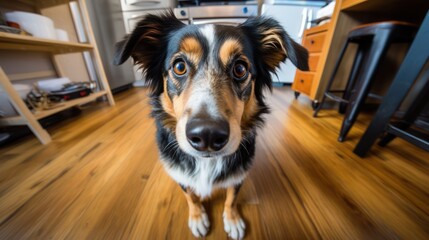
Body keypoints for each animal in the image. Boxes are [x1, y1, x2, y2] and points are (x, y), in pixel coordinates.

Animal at [113, 11, 308, 240]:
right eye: (179, 66)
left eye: (240, 68)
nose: (207, 135)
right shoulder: (179, 173)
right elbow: (190, 196)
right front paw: (198, 217)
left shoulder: (239, 172)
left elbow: (231, 197)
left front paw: (232, 220)